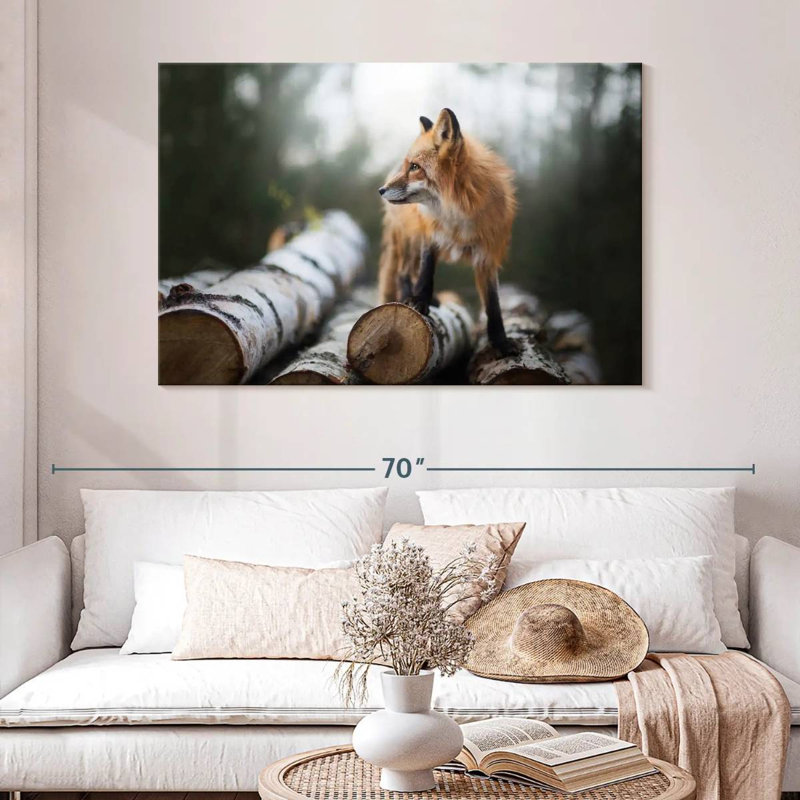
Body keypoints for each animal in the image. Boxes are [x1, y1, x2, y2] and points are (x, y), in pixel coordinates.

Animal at [378, 108, 517, 354]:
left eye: (415, 167)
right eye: (408, 166)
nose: (381, 190)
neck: (457, 215)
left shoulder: (487, 255)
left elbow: (493, 304)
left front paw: (500, 342)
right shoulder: (430, 236)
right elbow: (426, 273)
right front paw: (419, 302)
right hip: (410, 240)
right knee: (404, 273)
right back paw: (407, 298)